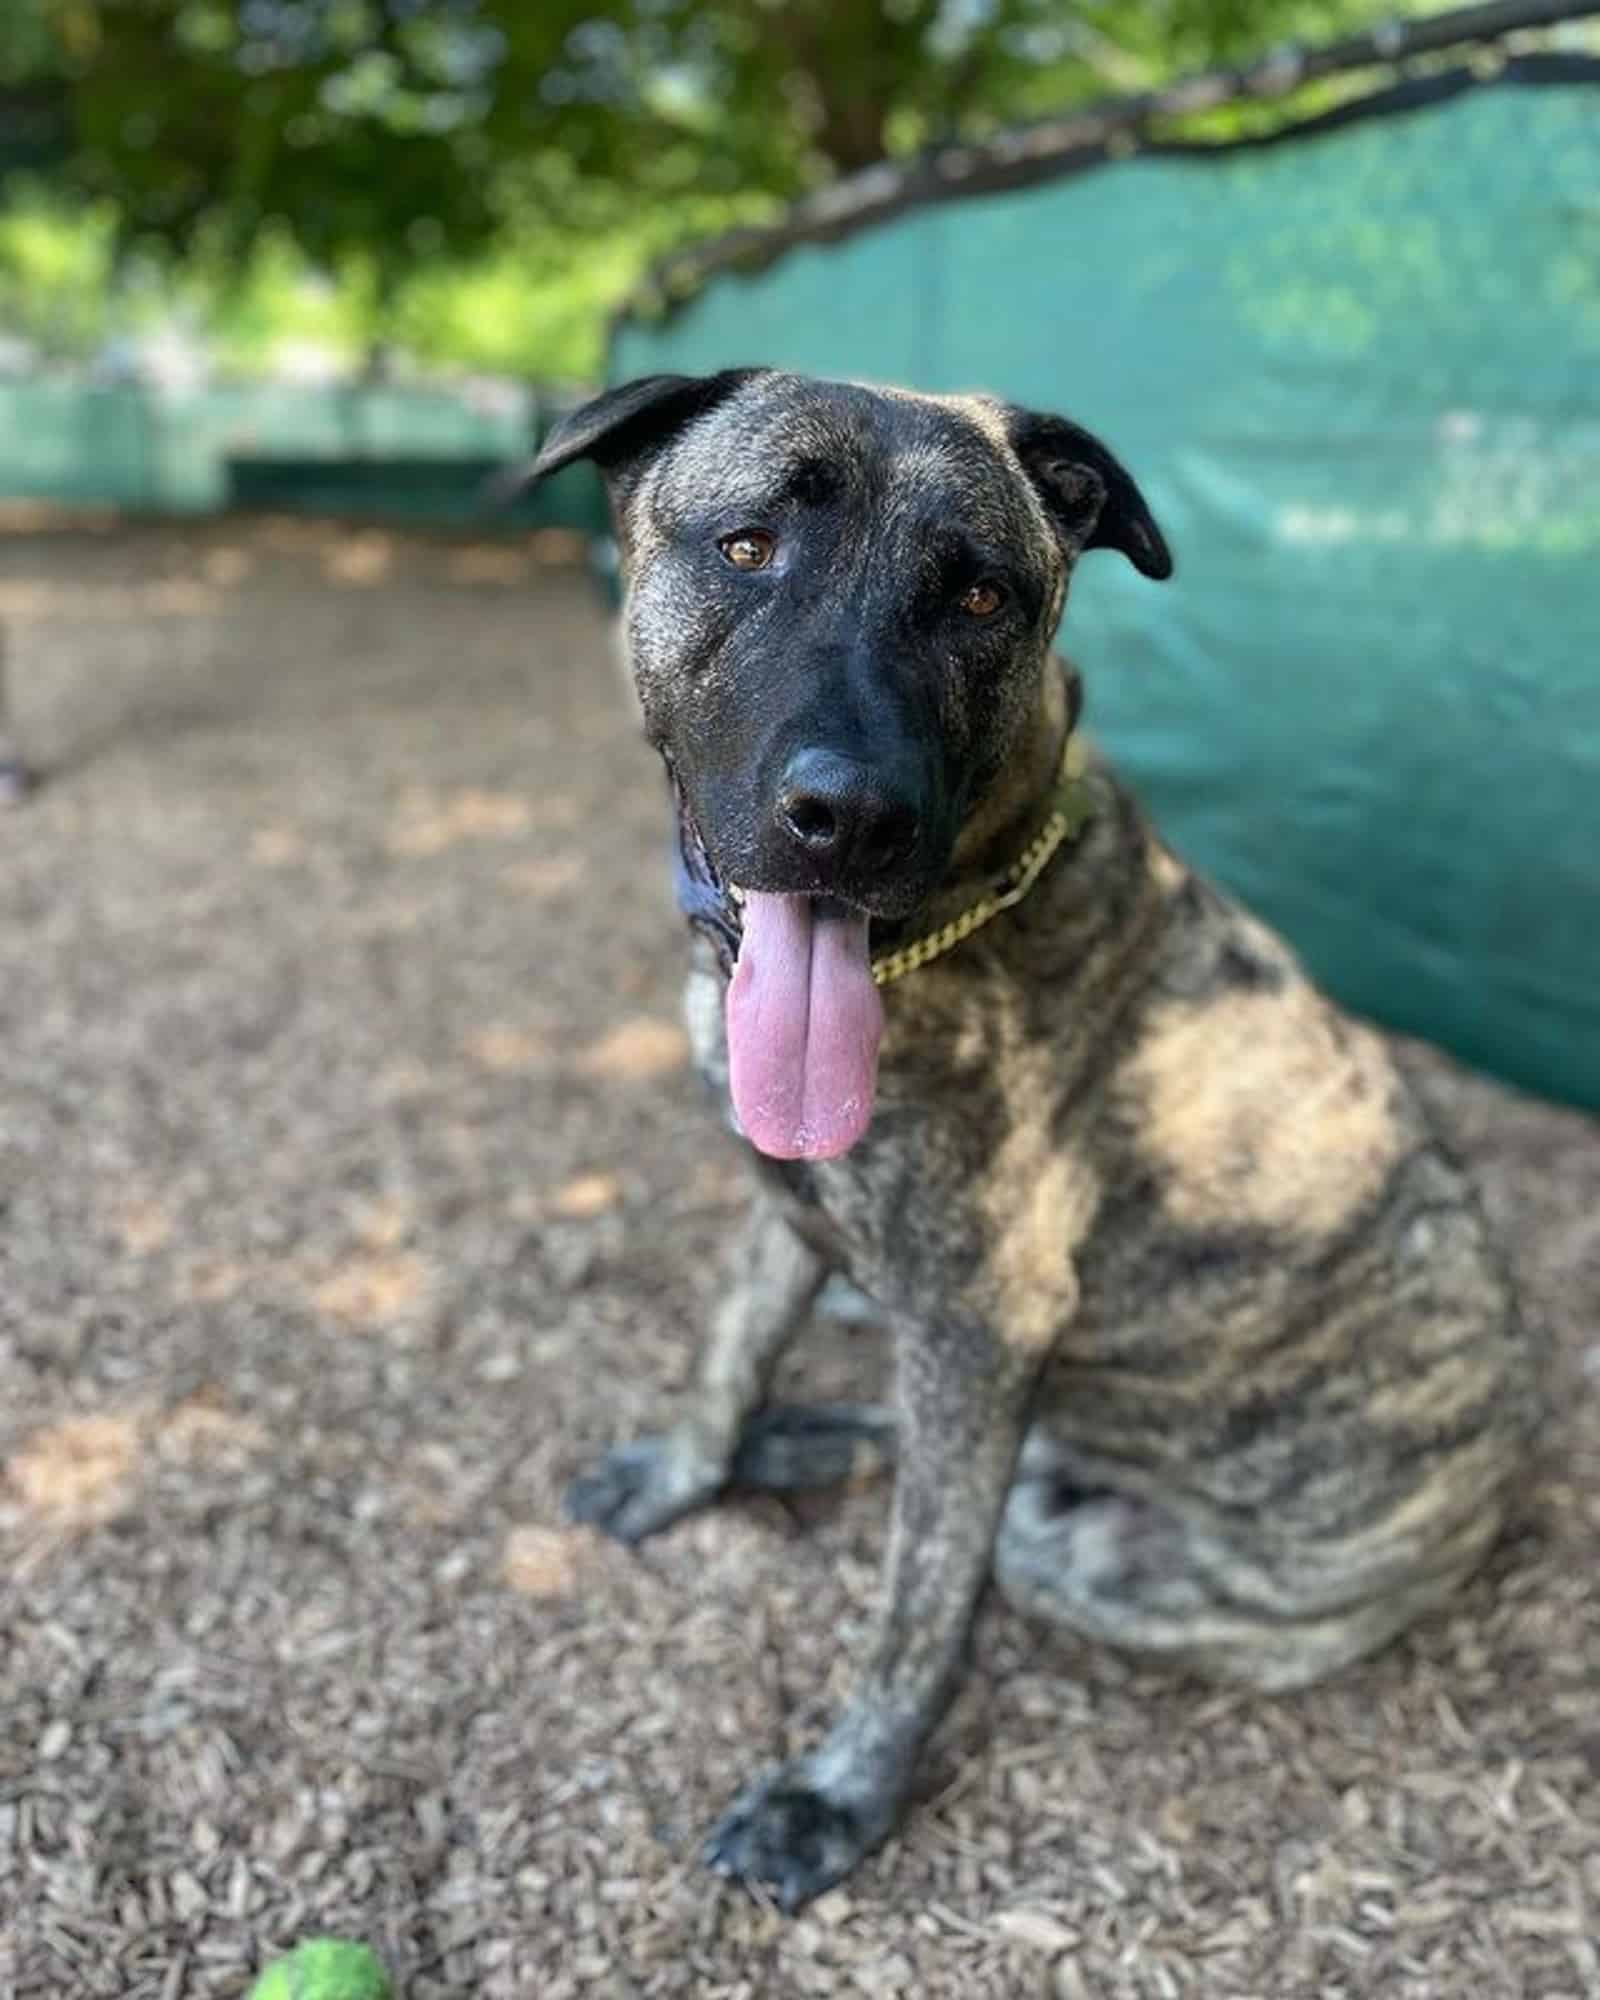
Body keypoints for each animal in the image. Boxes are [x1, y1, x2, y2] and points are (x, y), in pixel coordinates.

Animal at [536, 372, 1536, 1904]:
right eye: (748, 545)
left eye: (981, 596)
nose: (850, 818)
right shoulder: (793, 1215)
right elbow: (729, 1347)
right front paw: (691, 1463)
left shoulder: (979, 1319)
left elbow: (917, 1606)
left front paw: (839, 1794)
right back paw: (797, 1440)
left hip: (1081, 1538)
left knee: (975, 1516)